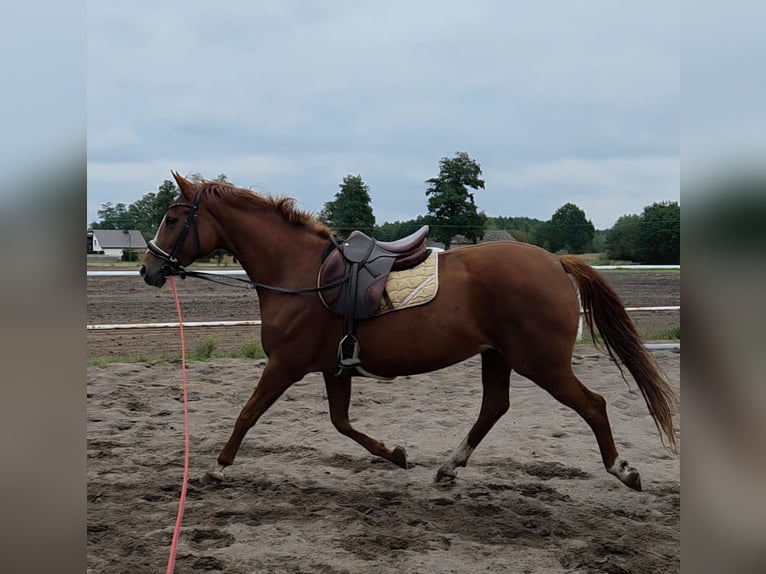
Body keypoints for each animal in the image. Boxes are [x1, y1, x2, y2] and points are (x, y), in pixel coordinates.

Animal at [140, 172, 678, 491]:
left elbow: (248, 414)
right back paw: (448, 466)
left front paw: (216, 465)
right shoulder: (334, 368)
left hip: (541, 363)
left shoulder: (284, 365)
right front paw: (394, 455)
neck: (300, 273)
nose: (148, 268)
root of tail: (554, 261)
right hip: (498, 355)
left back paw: (622, 469)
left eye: (172, 218)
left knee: (593, 405)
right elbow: (341, 423)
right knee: (493, 407)